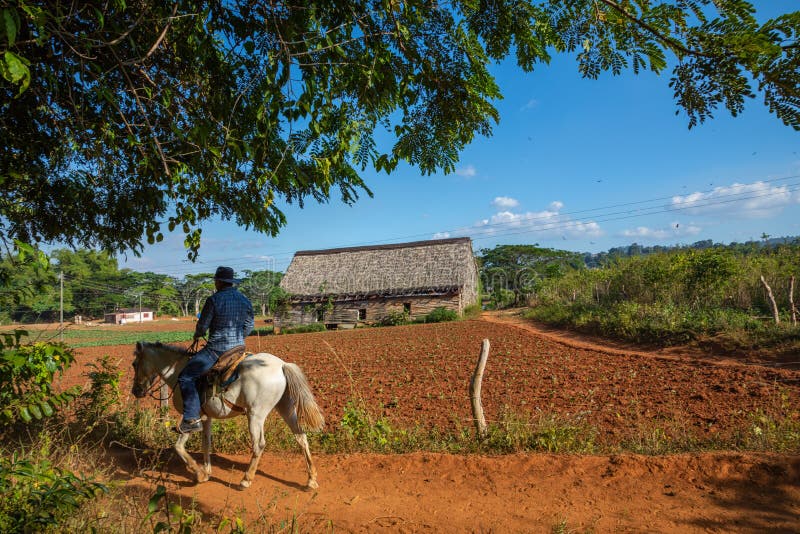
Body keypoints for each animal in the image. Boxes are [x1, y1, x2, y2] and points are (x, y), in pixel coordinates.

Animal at [130, 344, 324, 490]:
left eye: (134, 364)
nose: (135, 391)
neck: (178, 371)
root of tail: (282, 365)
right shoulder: (206, 418)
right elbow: (206, 444)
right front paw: (207, 471)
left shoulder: (191, 418)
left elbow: (178, 446)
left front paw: (198, 474)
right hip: (285, 408)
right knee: (301, 437)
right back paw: (311, 480)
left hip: (255, 415)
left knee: (259, 444)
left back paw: (246, 480)